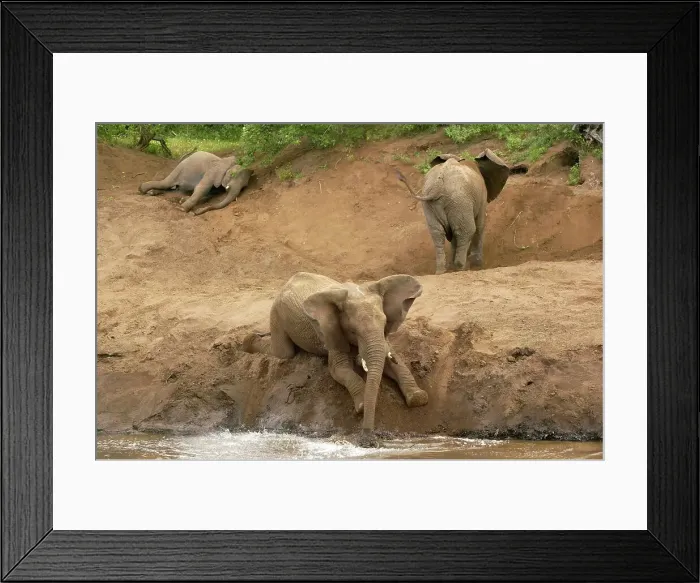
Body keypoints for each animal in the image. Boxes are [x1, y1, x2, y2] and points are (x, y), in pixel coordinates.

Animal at [241, 272, 428, 447]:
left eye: (384, 325)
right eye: (353, 331)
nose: (368, 442)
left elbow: (393, 359)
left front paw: (418, 398)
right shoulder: (331, 332)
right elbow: (339, 369)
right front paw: (362, 405)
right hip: (277, 312)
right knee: (284, 352)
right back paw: (247, 342)